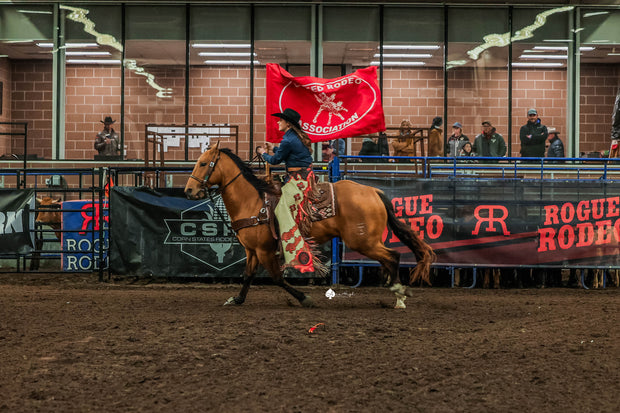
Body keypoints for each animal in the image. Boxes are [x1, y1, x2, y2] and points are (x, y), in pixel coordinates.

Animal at [184, 143, 436, 308]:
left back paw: (399, 294)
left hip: (362, 241)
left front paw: (305, 298)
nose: (188, 191)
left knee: (393, 256)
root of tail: (373, 191)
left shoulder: (265, 250)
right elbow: (247, 275)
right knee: (388, 258)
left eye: (203, 163)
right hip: (368, 241)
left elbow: (277, 277)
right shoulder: (252, 250)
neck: (252, 201)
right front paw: (237, 299)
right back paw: (395, 290)